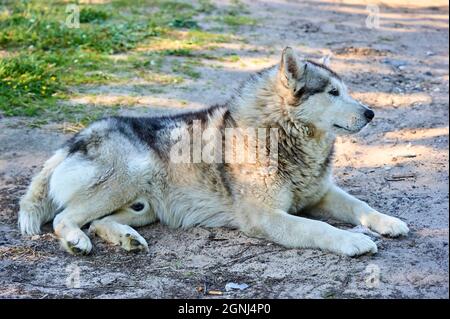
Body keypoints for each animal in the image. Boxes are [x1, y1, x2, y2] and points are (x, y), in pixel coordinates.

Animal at [20, 47, 408, 256]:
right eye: (332, 93)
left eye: (347, 90)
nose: (371, 113)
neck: (282, 135)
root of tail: (75, 139)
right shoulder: (266, 217)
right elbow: (320, 229)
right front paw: (352, 241)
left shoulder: (321, 194)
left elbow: (361, 206)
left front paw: (388, 222)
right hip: (128, 177)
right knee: (64, 218)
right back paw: (77, 241)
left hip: (143, 207)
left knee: (99, 221)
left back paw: (127, 239)